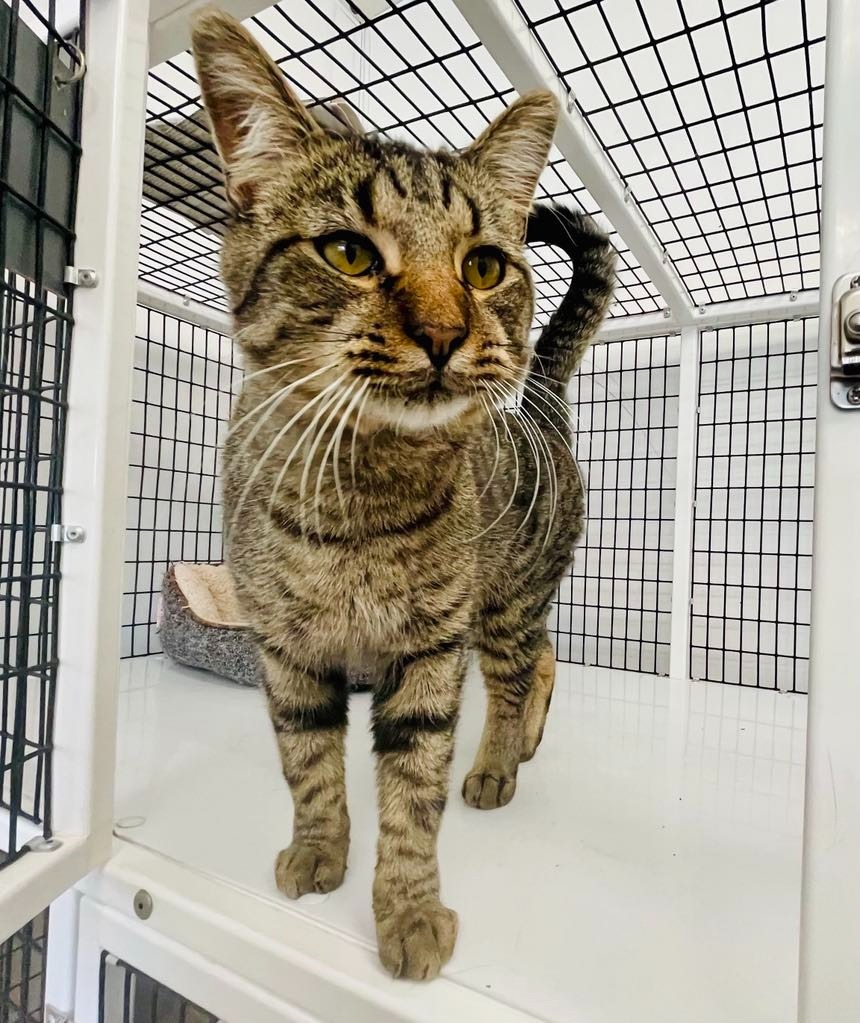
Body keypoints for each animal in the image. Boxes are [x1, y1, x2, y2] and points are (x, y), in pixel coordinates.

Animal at [191, 9, 613, 982]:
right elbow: (308, 762)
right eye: (348, 251)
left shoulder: (430, 652)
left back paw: (500, 759)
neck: (359, 497)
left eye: (486, 266)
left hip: (503, 599)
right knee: (542, 658)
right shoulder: (286, 649)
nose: (447, 331)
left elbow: (412, 796)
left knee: (522, 667)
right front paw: (319, 850)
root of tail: (543, 395)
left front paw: (409, 911)